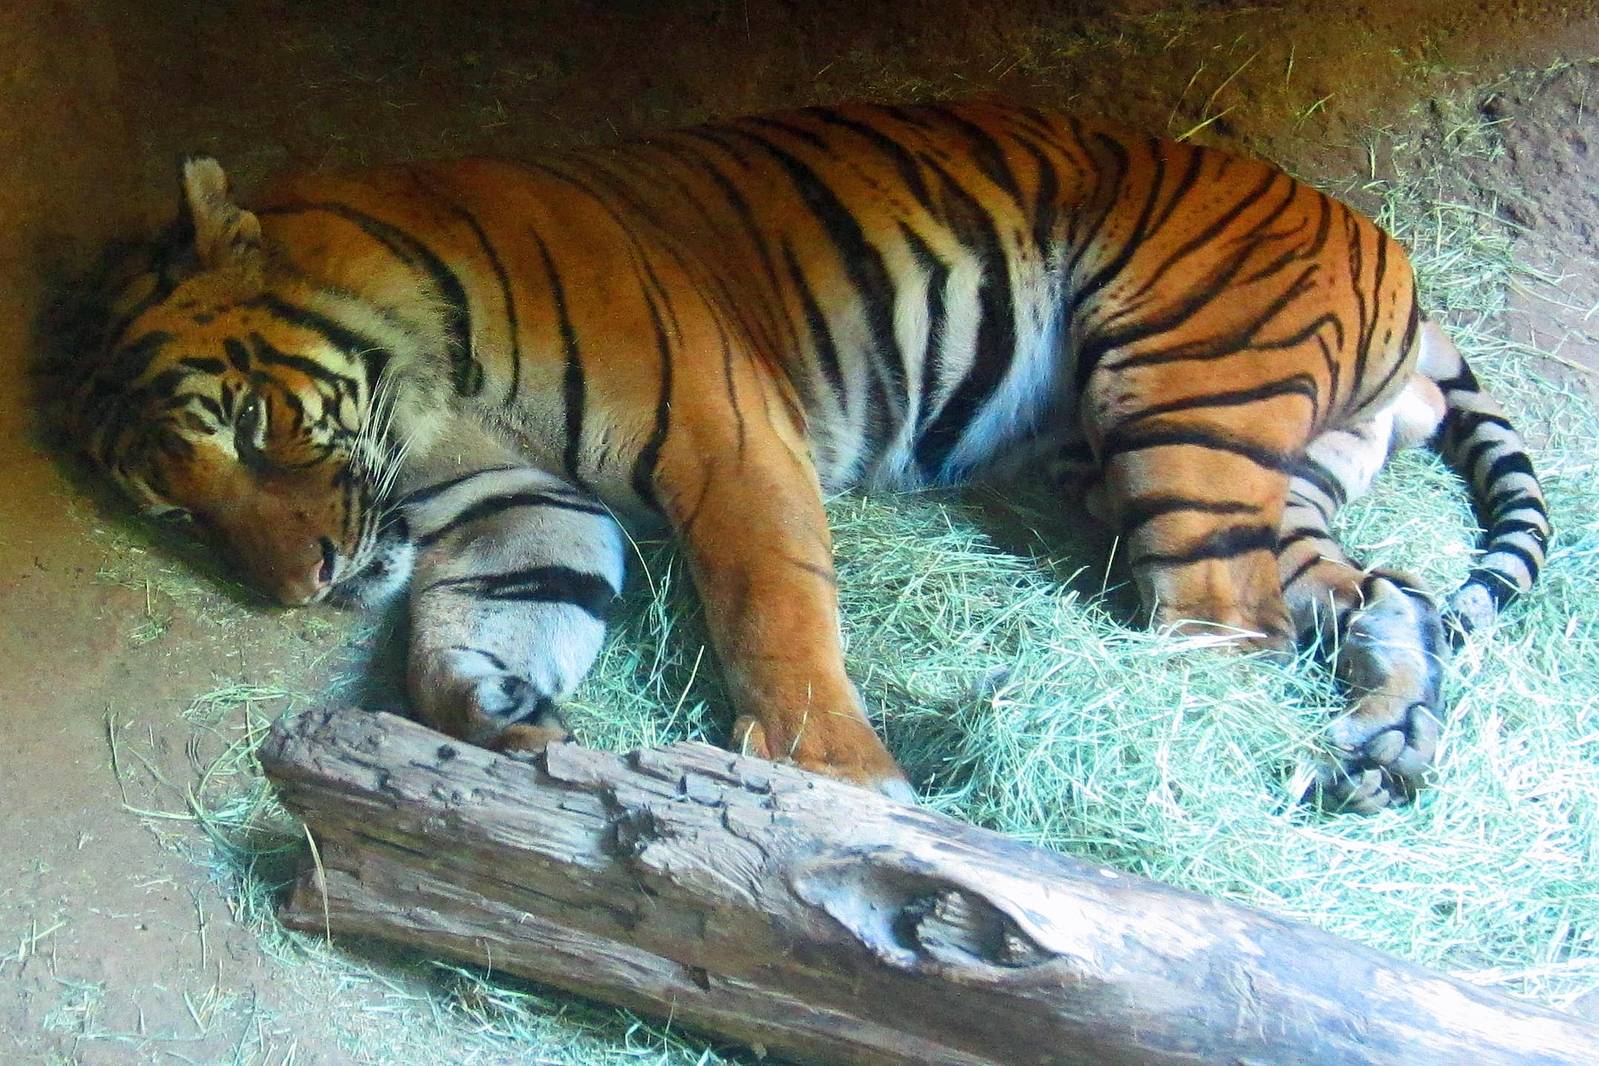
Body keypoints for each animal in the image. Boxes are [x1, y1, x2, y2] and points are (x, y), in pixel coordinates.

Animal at [63, 100, 1550, 813]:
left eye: (250, 426)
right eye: (176, 511)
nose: (301, 584)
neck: (427, 399)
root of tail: (1391, 255)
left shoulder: (723, 436)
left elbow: (768, 613)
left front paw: (838, 781)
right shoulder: (512, 510)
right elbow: (479, 622)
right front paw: (493, 710)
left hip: (1178, 394)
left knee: (1221, 617)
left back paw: (1067, 723)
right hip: (1205, 462)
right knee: (1386, 593)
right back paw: (1374, 752)